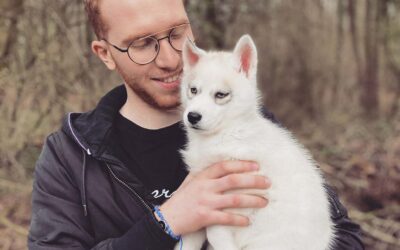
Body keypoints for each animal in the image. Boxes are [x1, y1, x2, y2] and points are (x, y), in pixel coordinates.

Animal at [177, 35, 336, 250]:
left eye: (221, 94)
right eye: (193, 90)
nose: (192, 116)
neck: (227, 134)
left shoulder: (236, 201)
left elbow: (214, 230)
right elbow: (191, 234)